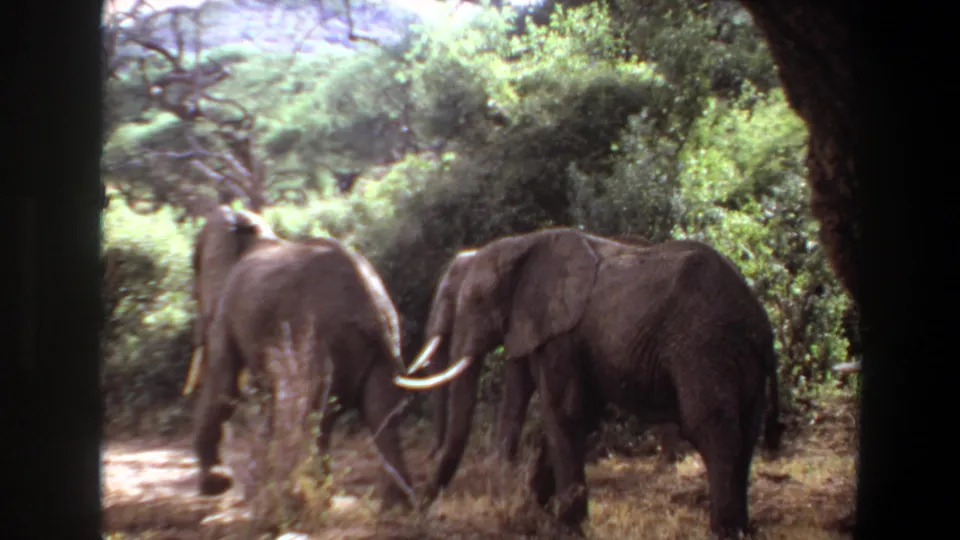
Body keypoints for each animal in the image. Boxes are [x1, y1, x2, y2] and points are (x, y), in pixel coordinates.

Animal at [181, 205, 415, 511]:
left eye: (195, 286)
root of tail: (372, 306)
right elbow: (264, 398)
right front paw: (252, 491)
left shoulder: (227, 311)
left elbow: (224, 388)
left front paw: (217, 485)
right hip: (382, 349)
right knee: (383, 412)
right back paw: (397, 504)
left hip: (321, 339)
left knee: (315, 411)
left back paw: (300, 499)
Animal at [412, 234, 689, 471]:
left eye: (478, 302)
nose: (430, 455)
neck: (520, 243)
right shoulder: (528, 317)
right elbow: (519, 382)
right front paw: (500, 466)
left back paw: (667, 463)